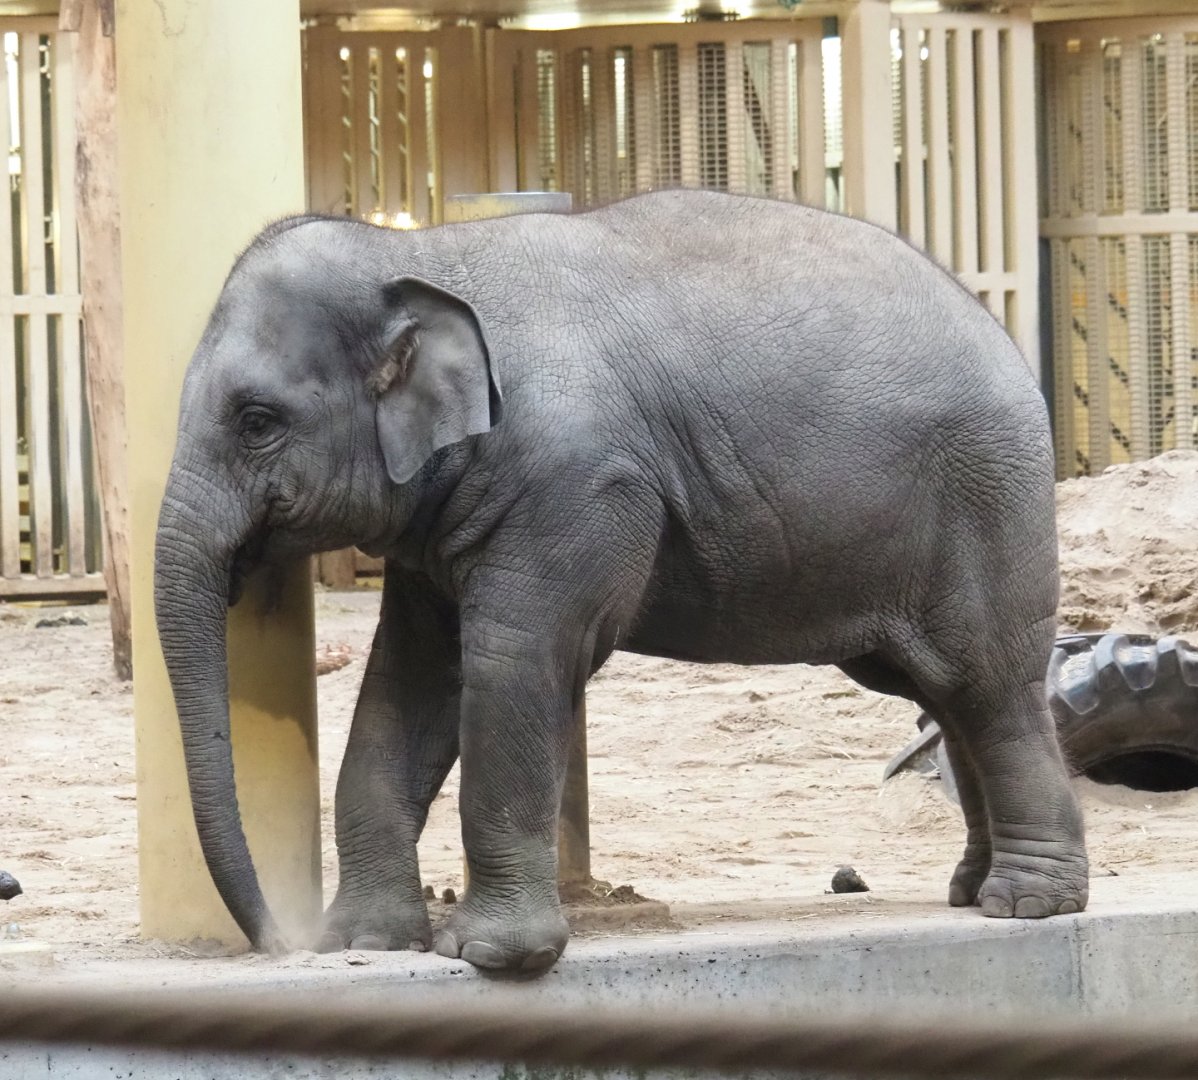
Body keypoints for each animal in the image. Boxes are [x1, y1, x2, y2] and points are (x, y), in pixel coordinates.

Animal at [154, 189, 1088, 973]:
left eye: (257, 421)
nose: (277, 942)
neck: (424, 254)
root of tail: (999, 329)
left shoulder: (578, 486)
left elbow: (511, 663)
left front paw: (492, 957)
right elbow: (412, 679)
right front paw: (367, 944)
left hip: (987, 500)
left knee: (987, 685)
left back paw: (1027, 906)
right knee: (940, 693)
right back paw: (969, 892)